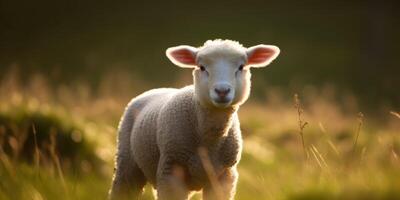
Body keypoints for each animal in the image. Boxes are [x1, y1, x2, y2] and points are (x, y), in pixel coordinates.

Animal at [108, 39, 280, 200]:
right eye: (202, 67)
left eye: (241, 67)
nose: (222, 91)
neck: (209, 142)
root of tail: (155, 89)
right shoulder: (171, 171)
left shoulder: (225, 177)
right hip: (127, 164)